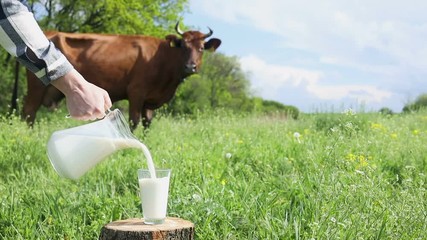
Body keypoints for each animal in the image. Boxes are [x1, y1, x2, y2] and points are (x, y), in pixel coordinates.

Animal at [21, 23, 222, 129]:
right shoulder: (136, 91)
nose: (190, 66)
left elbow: (147, 122)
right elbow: (134, 120)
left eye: (201, 48)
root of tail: (48, 32)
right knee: (29, 112)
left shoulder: (149, 99)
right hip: (37, 87)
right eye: (184, 47)